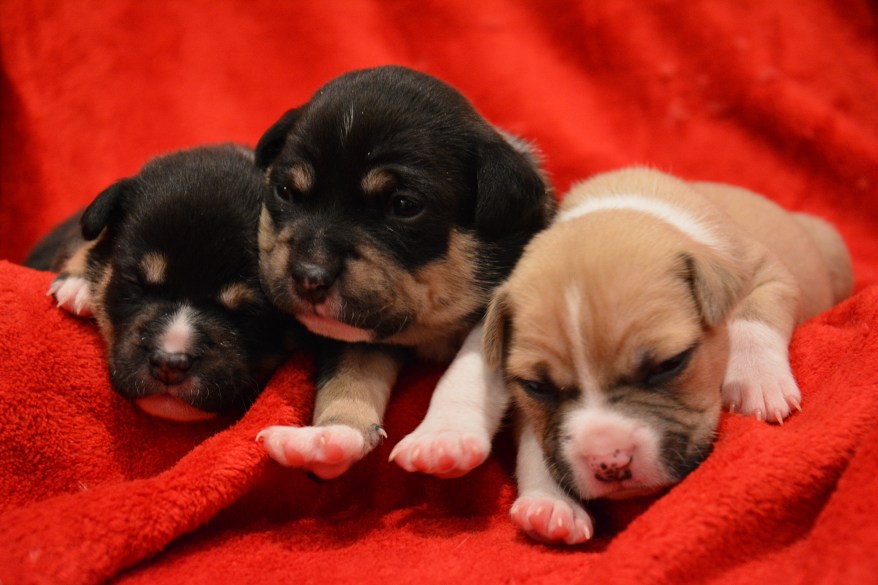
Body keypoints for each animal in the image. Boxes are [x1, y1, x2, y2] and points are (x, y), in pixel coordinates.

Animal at [254, 66, 556, 482]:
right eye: (285, 191)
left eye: (403, 206)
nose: (309, 278)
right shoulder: (354, 328)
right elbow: (347, 375)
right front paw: (331, 436)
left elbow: (469, 367)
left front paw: (443, 438)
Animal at [484, 167, 856, 544]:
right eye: (537, 387)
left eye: (669, 364)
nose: (610, 463)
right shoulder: (525, 403)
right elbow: (535, 442)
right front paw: (551, 503)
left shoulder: (769, 274)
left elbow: (754, 318)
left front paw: (758, 381)